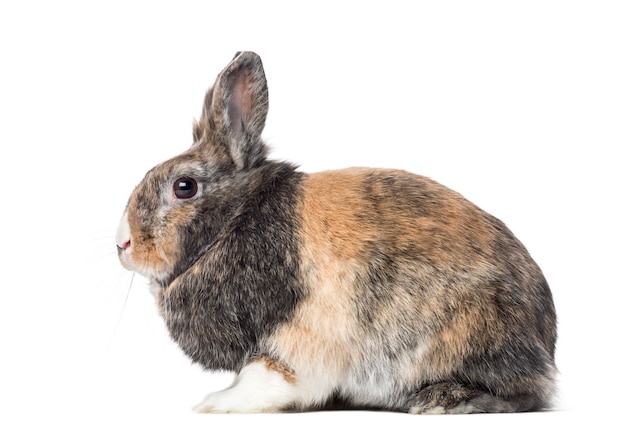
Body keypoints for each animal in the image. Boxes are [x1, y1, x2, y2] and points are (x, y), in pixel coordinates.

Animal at [117, 52, 556, 416]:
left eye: (184, 187)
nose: (123, 244)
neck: (233, 220)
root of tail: (545, 345)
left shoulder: (292, 338)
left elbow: (267, 375)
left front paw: (217, 404)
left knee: (524, 395)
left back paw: (443, 400)